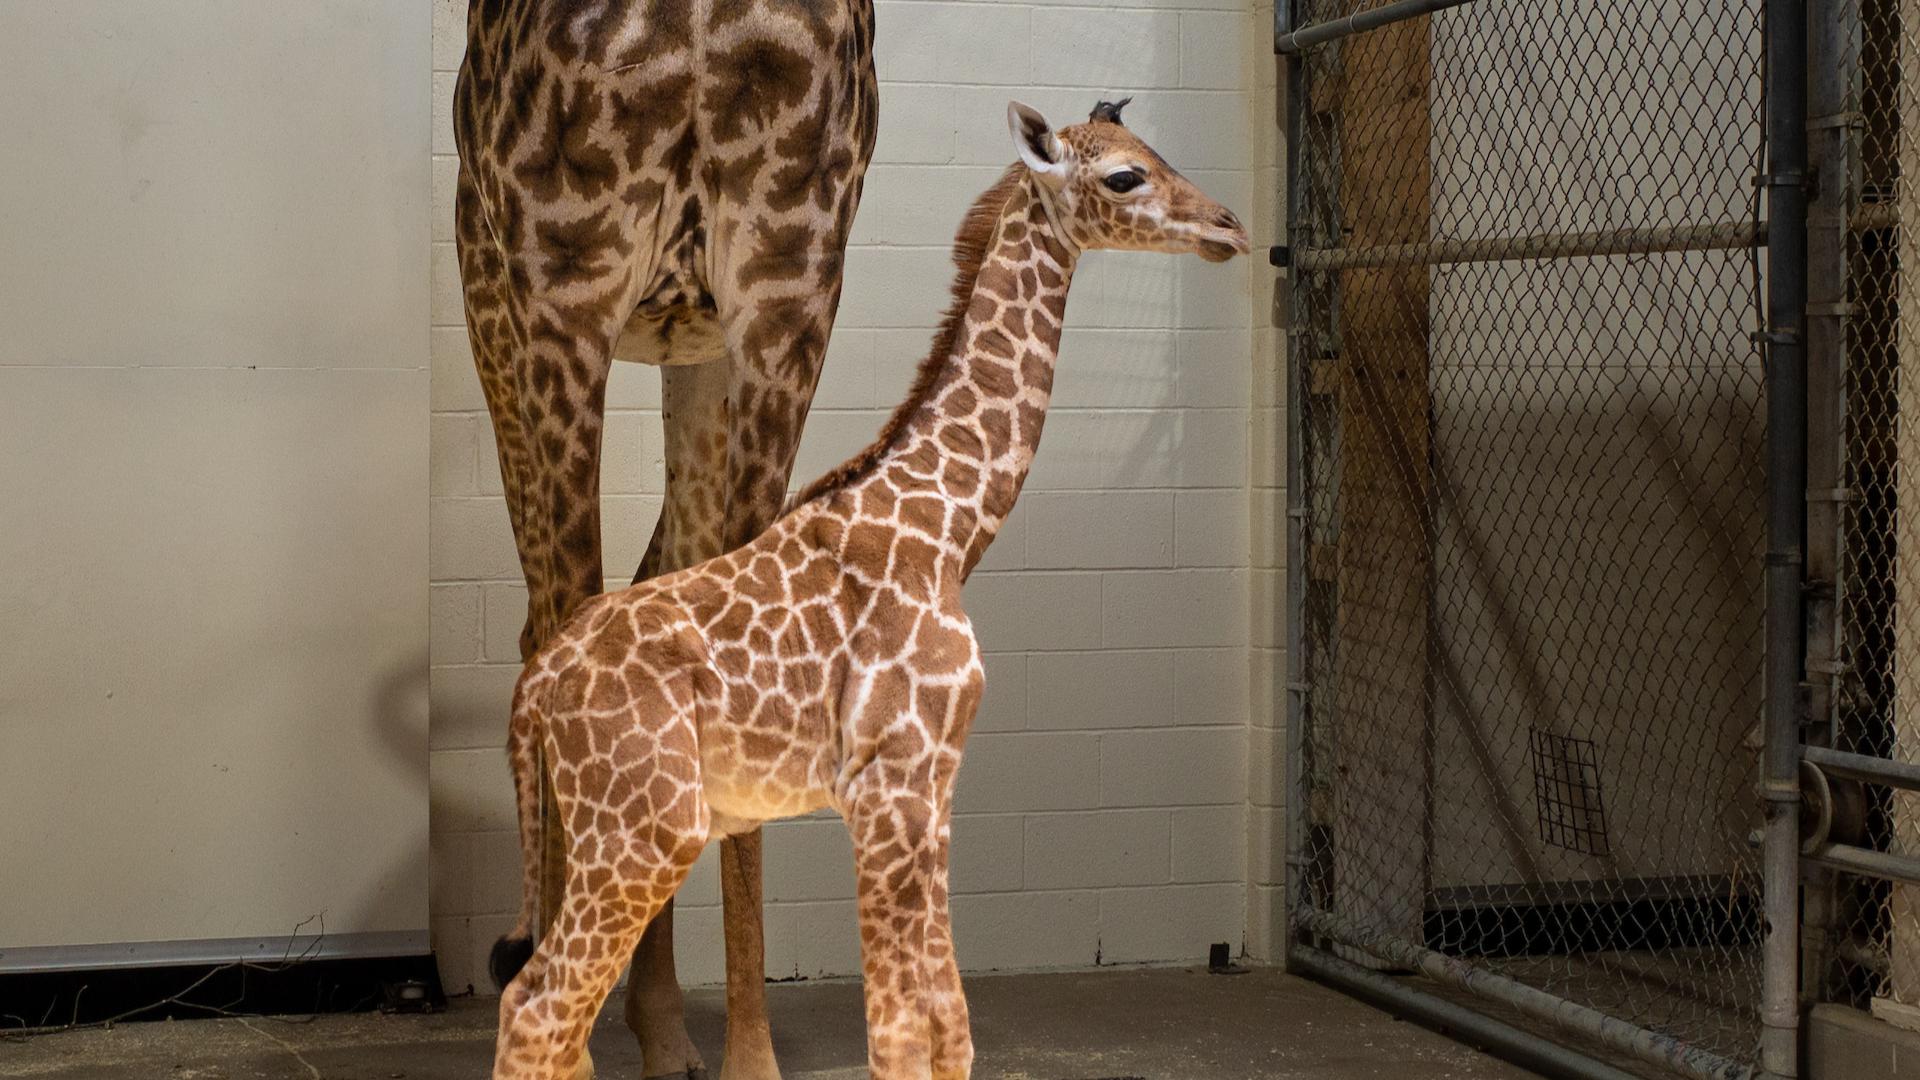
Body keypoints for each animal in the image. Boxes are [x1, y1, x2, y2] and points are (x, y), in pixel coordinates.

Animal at [452, 0, 877, 1076]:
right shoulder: (562, 282)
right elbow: (568, 641)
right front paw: (556, 1035)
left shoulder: (788, 292)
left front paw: (748, 1058)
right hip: (494, 301)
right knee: (548, 626)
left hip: (688, 351)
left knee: (654, 606)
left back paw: (661, 1024)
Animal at [487, 99, 1249, 1080]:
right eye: (1125, 177)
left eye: (1154, 152)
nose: (1229, 228)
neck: (951, 526)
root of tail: (536, 688)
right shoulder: (888, 783)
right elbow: (897, 1026)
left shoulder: (934, 783)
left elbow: (948, 1017)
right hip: (645, 829)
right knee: (537, 1008)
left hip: (606, 832)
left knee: (550, 1018)